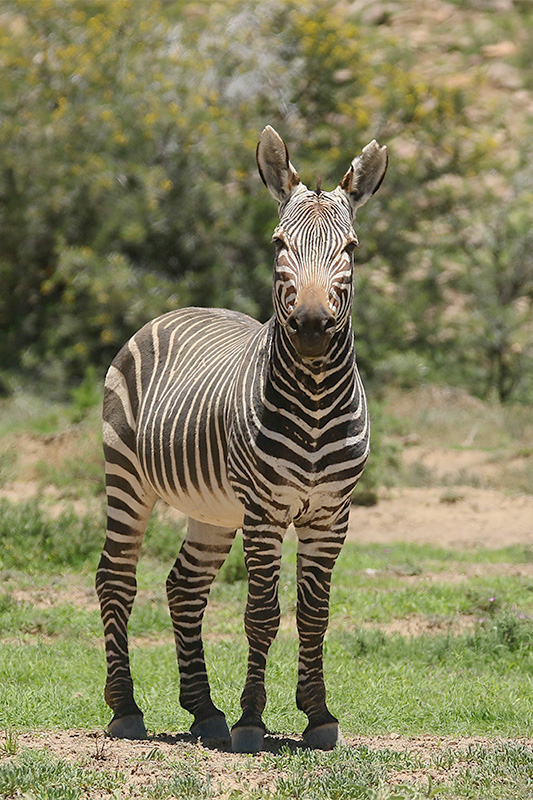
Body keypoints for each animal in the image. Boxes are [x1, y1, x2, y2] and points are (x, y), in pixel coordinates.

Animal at [96, 125, 388, 753]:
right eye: (278, 244)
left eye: (351, 250)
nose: (309, 327)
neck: (315, 401)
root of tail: (179, 309)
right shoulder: (263, 510)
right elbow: (261, 613)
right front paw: (252, 721)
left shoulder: (332, 514)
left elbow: (314, 615)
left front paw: (318, 716)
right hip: (127, 479)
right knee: (116, 579)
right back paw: (126, 709)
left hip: (212, 509)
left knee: (183, 588)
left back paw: (204, 712)